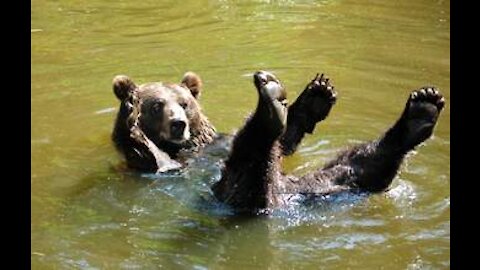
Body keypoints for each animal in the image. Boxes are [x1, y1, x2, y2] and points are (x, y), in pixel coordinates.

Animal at [111, 71, 338, 173]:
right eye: (157, 106)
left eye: (184, 103)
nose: (178, 124)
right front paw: (130, 116)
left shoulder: (217, 143)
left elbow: (283, 145)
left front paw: (317, 94)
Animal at [212, 70, 444, 214]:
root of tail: (277, 198)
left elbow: (284, 146)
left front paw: (314, 98)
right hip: (239, 187)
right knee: (250, 152)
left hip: (324, 182)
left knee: (367, 163)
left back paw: (421, 112)